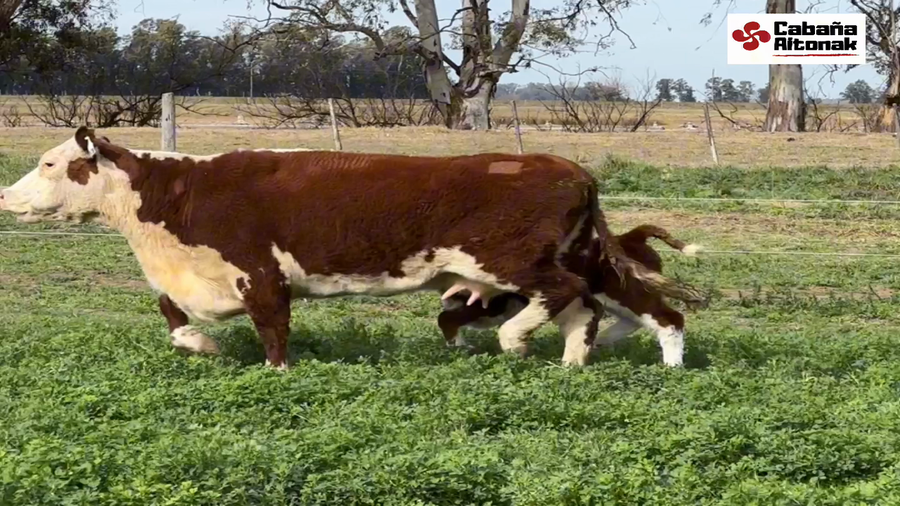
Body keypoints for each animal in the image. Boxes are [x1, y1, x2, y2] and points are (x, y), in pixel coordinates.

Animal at [436, 224, 703, 366]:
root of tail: (631, 236)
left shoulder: (489, 303)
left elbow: (447, 318)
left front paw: (461, 349)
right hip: (614, 296)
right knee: (635, 320)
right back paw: (601, 340)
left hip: (628, 291)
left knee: (669, 319)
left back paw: (671, 366)